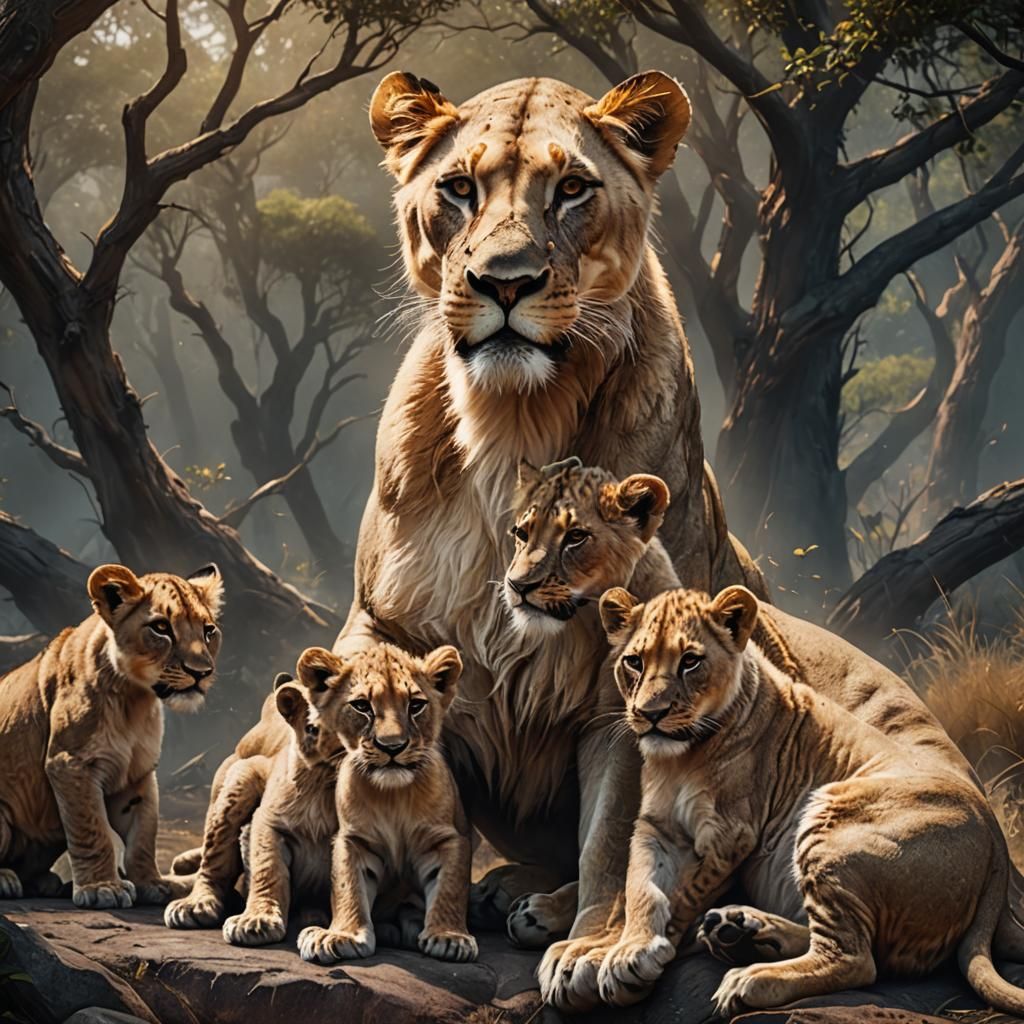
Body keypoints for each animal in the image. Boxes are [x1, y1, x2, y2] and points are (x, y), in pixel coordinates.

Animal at [0, 563, 222, 909]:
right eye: (161, 628)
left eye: (208, 630)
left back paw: (45, 882)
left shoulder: (139, 773)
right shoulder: (70, 763)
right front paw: (103, 888)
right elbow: (93, 830)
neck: (135, 699)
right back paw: (7, 879)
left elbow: (143, 836)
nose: (201, 672)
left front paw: (152, 884)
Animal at [220, 678, 343, 947]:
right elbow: (269, 870)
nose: (331, 757)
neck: (322, 792)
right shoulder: (270, 822)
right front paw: (256, 922)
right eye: (312, 729)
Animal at [294, 642, 477, 965]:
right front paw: (342, 935)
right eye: (362, 706)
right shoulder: (354, 839)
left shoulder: (448, 837)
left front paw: (449, 936)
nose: (392, 746)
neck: (393, 797)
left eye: (415, 706)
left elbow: (450, 887)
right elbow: (348, 886)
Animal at [591, 584, 1024, 1017]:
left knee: (855, 959)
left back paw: (750, 975)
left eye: (690, 662)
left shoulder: (731, 834)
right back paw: (742, 930)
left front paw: (657, 951)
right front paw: (629, 953)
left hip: (830, 821)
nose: (651, 713)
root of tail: (998, 851)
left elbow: (685, 893)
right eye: (634, 662)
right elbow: (642, 888)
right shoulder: (656, 827)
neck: (682, 758)